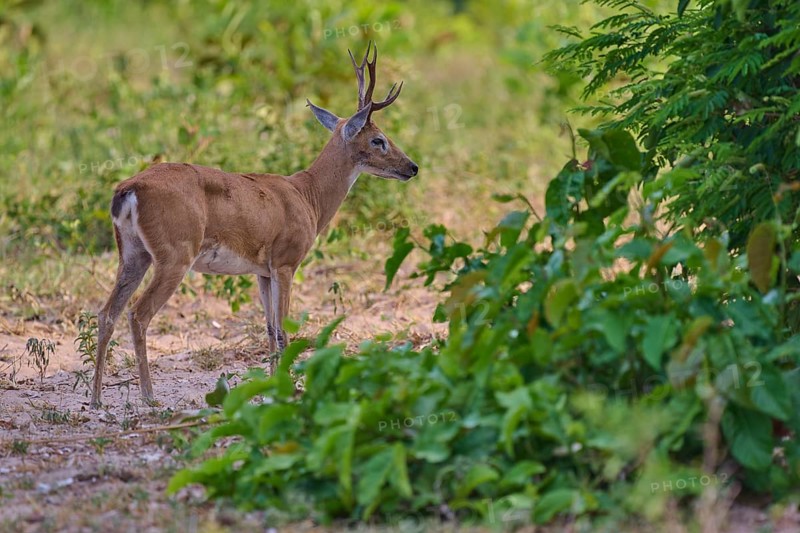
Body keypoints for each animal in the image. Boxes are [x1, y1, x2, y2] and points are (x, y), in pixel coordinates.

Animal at [90, 43, 418, 408]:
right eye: (379, 139)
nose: (412, 167)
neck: (309, 197)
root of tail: (128, 189)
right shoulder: (286, 261)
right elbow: (285, 330)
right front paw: (289, 389)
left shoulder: (263, 270)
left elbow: (270, 329)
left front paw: (272, 388)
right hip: (174, 254)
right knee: (138, 314)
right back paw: (149, 397)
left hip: (134, 253)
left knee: (106, 313)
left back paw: (96, 398)